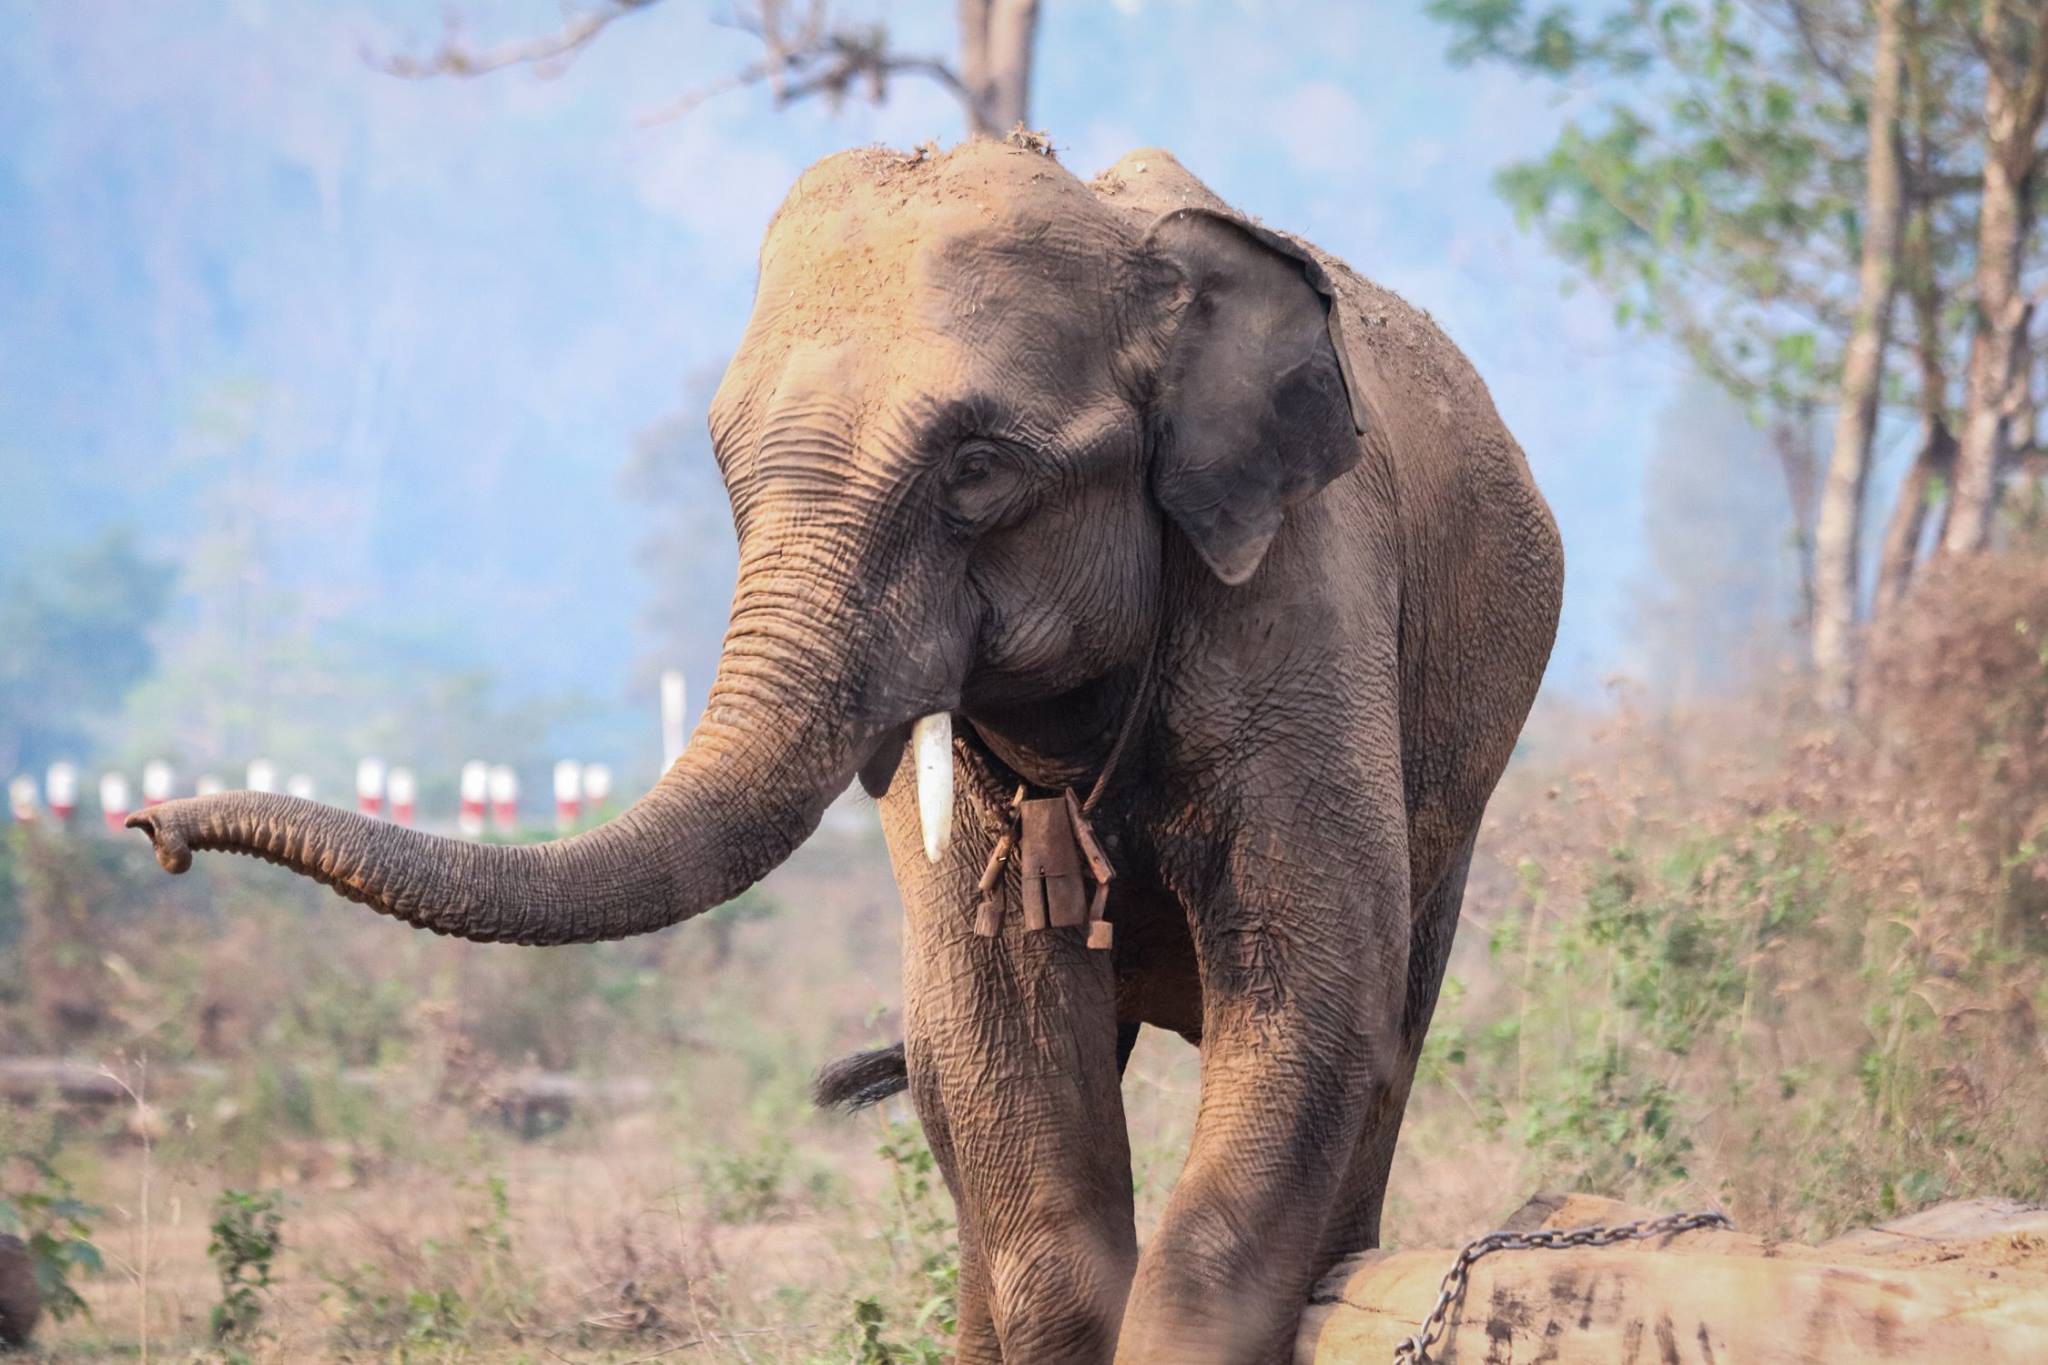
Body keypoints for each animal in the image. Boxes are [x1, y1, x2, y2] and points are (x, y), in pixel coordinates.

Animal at [129, 138, 1562, 1363]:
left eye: (976, 468)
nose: (157, 835)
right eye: (724, 471)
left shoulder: (1301, 601)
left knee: (1386, 1029)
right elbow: (997, 1057)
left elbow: (1308, 1006)